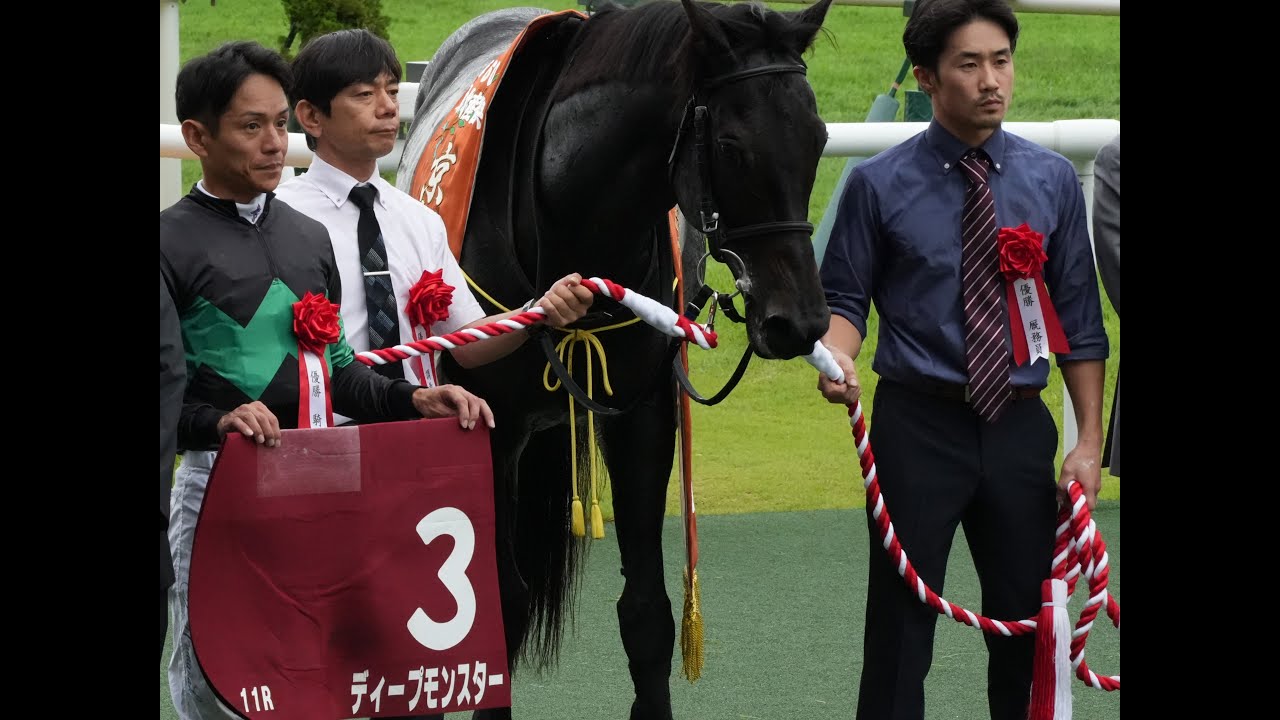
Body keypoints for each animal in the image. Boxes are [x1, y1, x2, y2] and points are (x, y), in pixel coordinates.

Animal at [398, 1, 835, 717]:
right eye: (731, 146)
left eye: (819, 139)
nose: (796, 321)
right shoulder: (493, 425)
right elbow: (499, 606)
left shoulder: (642, 415)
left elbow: (648, 612)